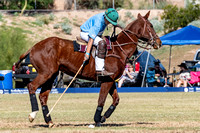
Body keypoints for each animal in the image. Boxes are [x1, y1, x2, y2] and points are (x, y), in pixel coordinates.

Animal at [15, 11, 162, 127]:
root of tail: (33, 47)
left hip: (52, 75)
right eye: (151, 26)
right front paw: (97, 121)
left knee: (43, 96)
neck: (119, 49)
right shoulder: (106, 80)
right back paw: (32, 115)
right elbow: (101, 100)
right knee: (32, 87)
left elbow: (116, 100)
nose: (159, 42)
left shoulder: (110, 80)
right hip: (46, 73)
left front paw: (102, 118)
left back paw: (49, 121)